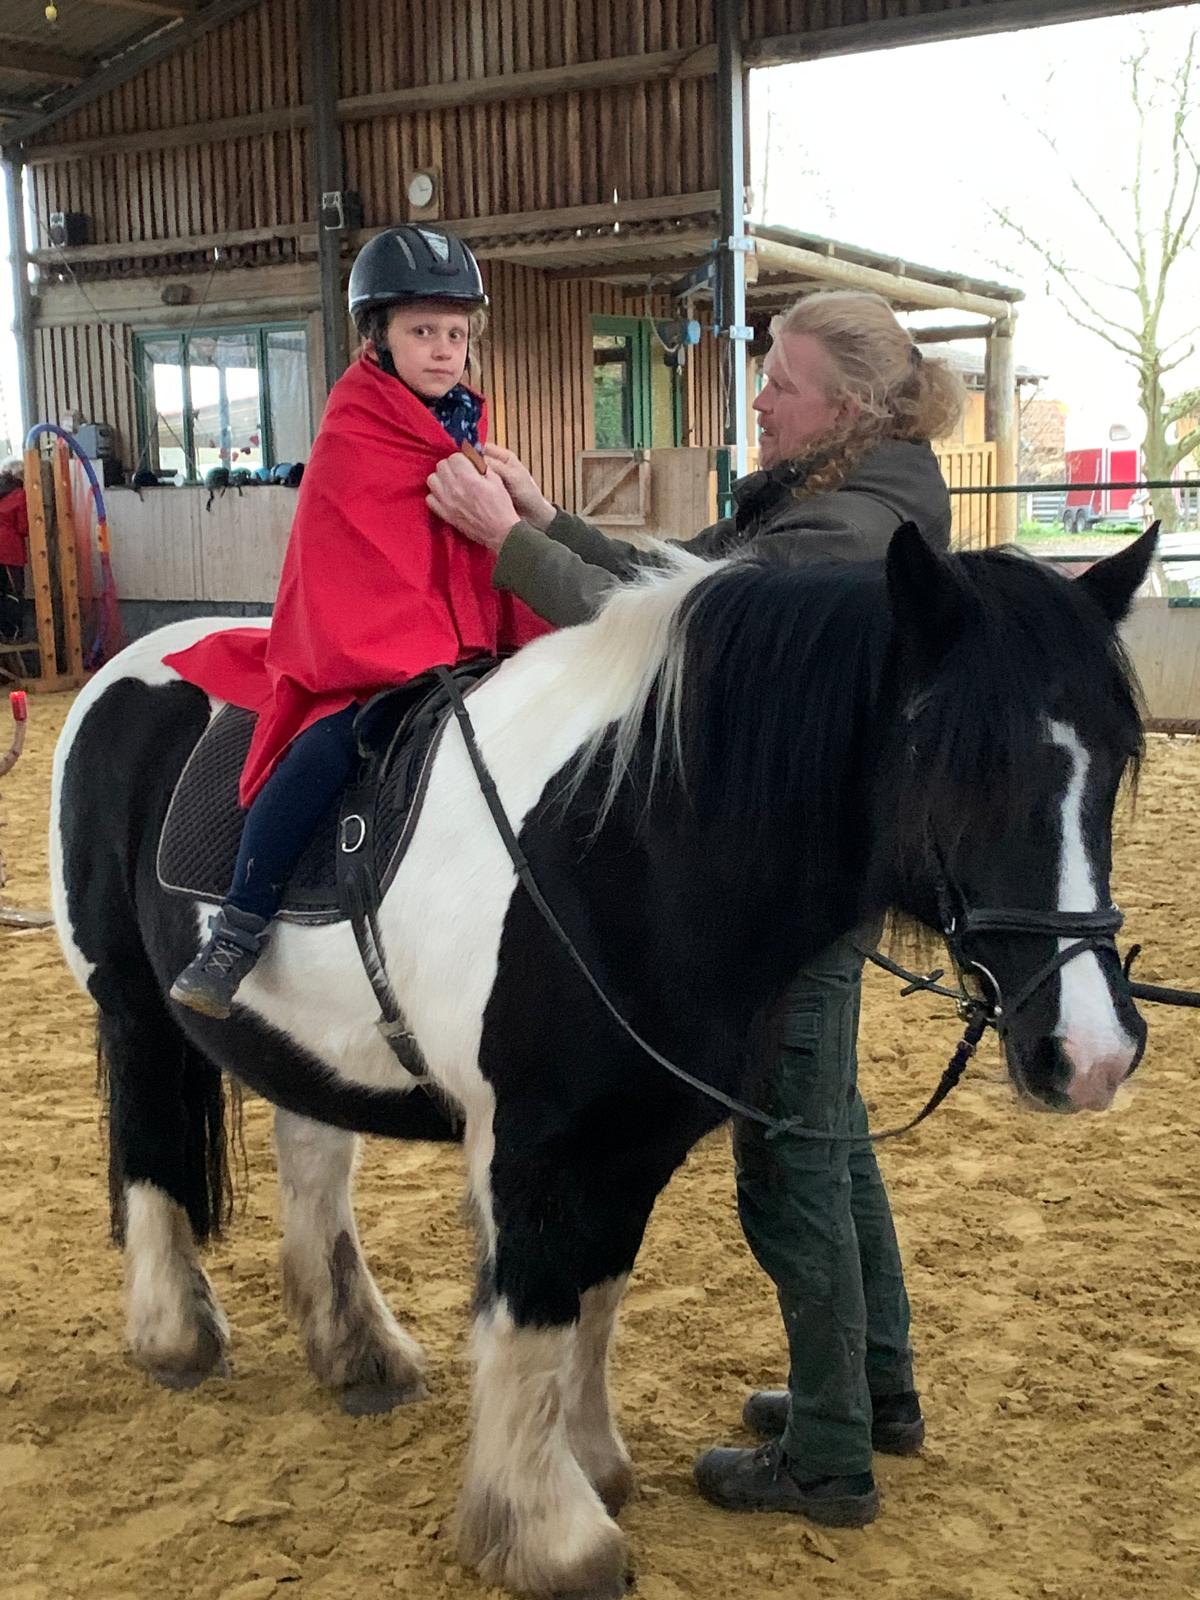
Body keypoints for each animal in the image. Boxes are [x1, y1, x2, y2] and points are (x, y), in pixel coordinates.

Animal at [50, 523, 1153, 1599]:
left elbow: (594, 1301)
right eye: (962, 761)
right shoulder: (536, 1146)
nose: (1093, 1052)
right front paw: (548, 1535)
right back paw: (177, 1338)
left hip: (307, 1048)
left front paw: (591, 1467)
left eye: (1112, 764)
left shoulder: (631, 1138)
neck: (620, 845)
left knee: (314, 1165)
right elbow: (537, 1312)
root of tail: (131, 671)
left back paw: (358, 1352)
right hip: (135, 1007)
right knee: (151, 1153)